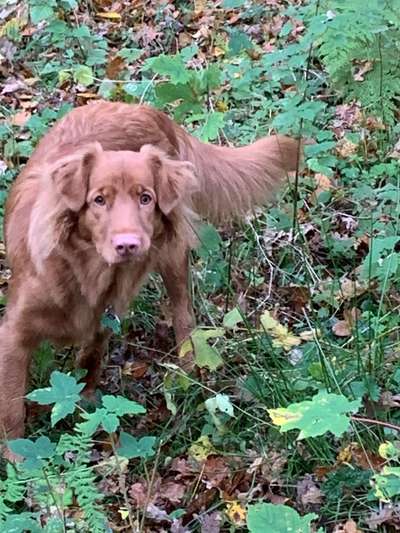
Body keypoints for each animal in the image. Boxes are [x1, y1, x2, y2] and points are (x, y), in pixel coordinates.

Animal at [0, 98, 300, 448]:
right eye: (98, 200)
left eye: (145, 198)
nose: (128, 245)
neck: (85, 272)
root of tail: (144, 110)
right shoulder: (14, 336)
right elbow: (12, 413)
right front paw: (21, 460)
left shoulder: (105, 317)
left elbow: (89, 362)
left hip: (171, 253)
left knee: (183, 312)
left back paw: (189, 373)